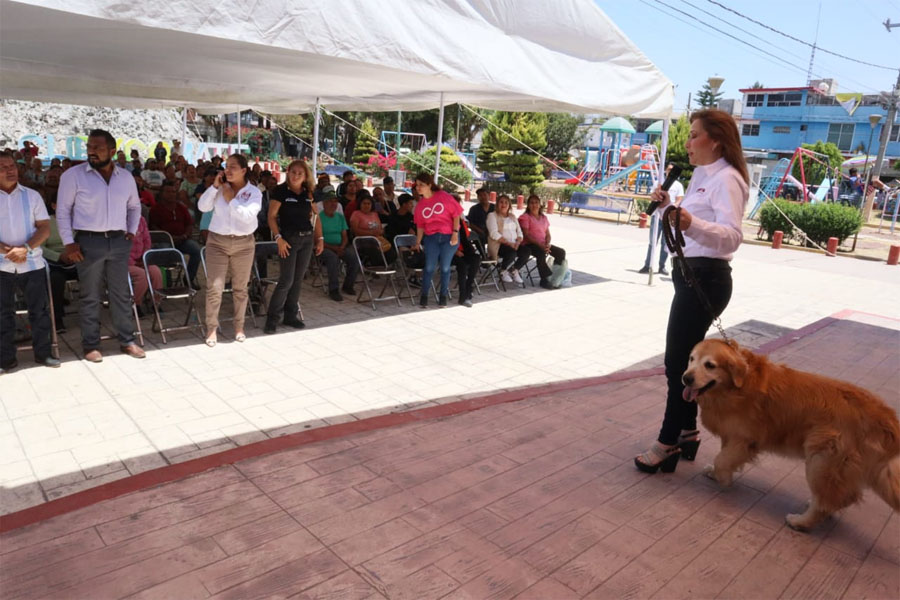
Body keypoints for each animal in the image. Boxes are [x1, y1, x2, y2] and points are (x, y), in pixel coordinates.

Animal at [684, 340, 900, 532]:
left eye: (710, 365)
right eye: (691, 359)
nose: (686, 378)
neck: (735, 387)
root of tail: (886, 419)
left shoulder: (744, 438)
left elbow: (722, 460)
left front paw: (723, 479)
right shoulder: (730, 435)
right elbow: (723, 457)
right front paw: (714, 472)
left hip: (821, 460)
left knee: (826, 503)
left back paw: (801, 522)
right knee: (838, 498)